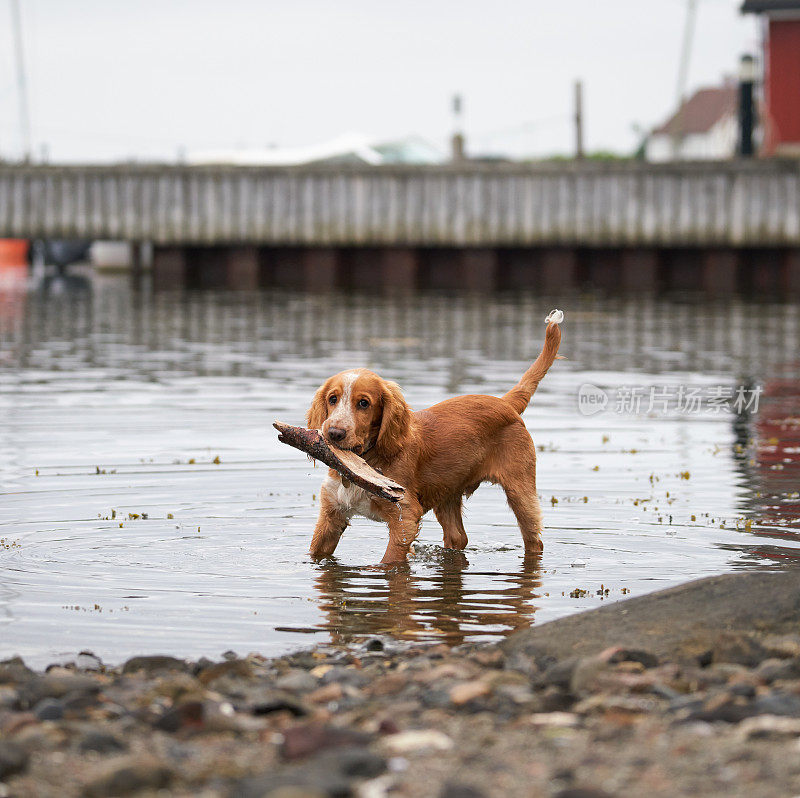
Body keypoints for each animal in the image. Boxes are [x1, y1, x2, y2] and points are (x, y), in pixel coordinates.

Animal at [306, 322, 564, 564]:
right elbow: (314, 552)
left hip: (520, 490)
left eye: (363, 403)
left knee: (534, 540)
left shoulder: (405, 516)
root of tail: (505, 403)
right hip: (448, 494)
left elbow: (388, 562)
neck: (363, 460)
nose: (334, 433)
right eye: (332, 399)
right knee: (458, 537)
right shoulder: (331, 515)